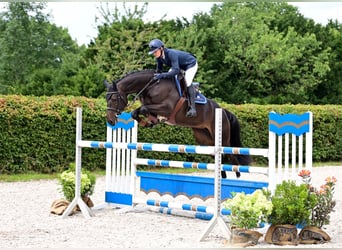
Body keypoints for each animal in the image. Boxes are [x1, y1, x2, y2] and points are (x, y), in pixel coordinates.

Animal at [104, 68, 251, 178]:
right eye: (107, 99)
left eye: (114, 98)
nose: (110, 120)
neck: (151, 85)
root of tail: (223, 110)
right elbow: (137, 112)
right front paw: (149, 122)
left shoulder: (166, 107)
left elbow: (144, 109)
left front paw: (152, 121)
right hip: (205, 139)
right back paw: (223, 175)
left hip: (222, 137)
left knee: (231, 155)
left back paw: (236, 177)